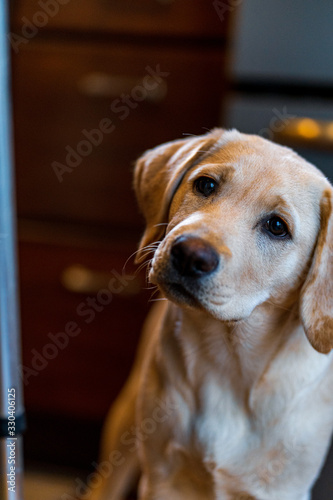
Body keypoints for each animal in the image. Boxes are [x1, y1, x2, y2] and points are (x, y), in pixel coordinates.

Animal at [91, 130, 332, 500]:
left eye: (277, 227)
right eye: (205, 185)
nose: (190, 255)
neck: (231, 359)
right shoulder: (162, 478)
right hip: (126, 422)